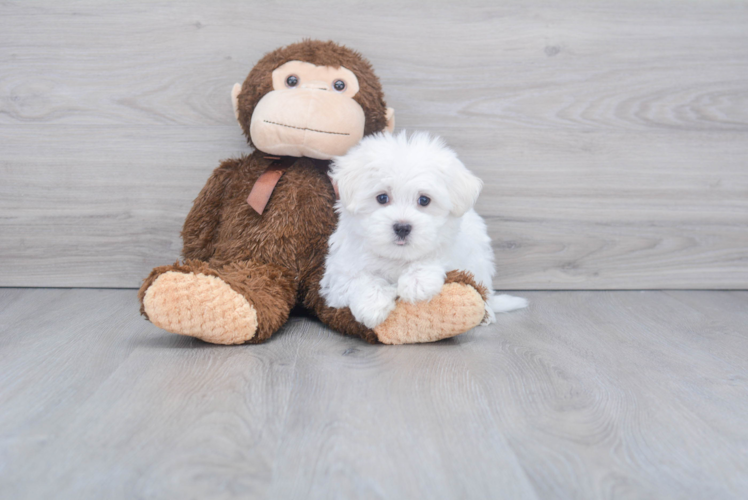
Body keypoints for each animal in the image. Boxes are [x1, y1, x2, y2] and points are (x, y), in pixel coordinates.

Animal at [318, 131, 528, 330]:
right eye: (382, 198)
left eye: (424, 200)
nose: (402, 227)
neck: (398, 257)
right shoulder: (339, 274)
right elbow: (358, 279)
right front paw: (372, 304)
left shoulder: (456, 251)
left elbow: (436, 256)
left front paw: (417, 282)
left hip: (479, 261)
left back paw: (488, 314)